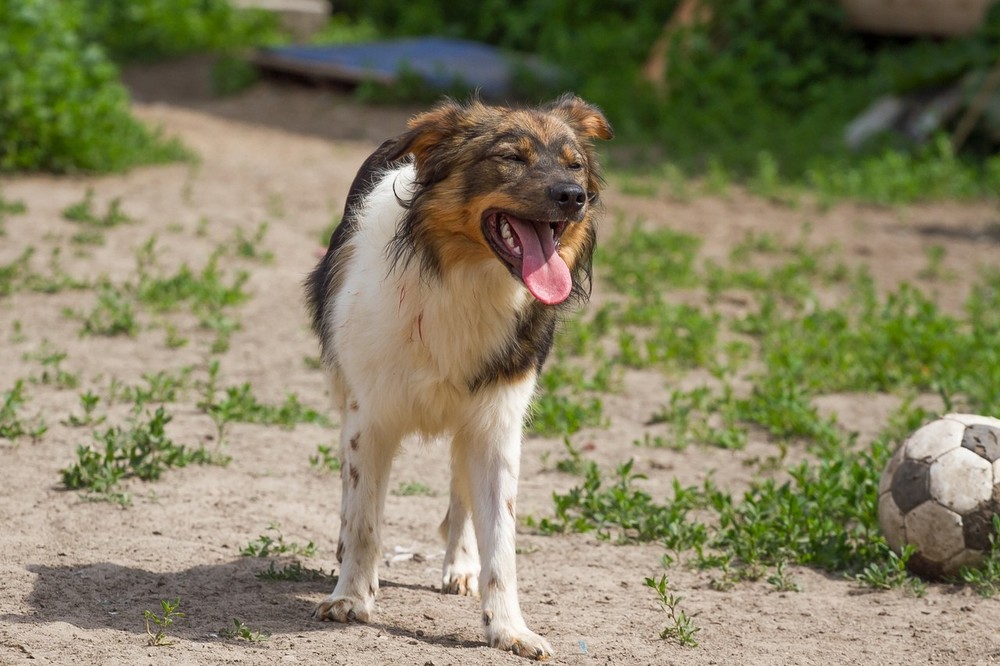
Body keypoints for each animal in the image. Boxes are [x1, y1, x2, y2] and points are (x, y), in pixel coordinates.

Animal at [304, 94, 612, 660]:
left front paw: (508, 627)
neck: (465, 279)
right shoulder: (369, 416)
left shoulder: (496, 423)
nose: (573, 197)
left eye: (575, 164)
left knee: (460, 492)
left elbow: (501, 540)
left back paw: (461, 564)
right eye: (511, 157)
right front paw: (351, 597)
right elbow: (364, 518)